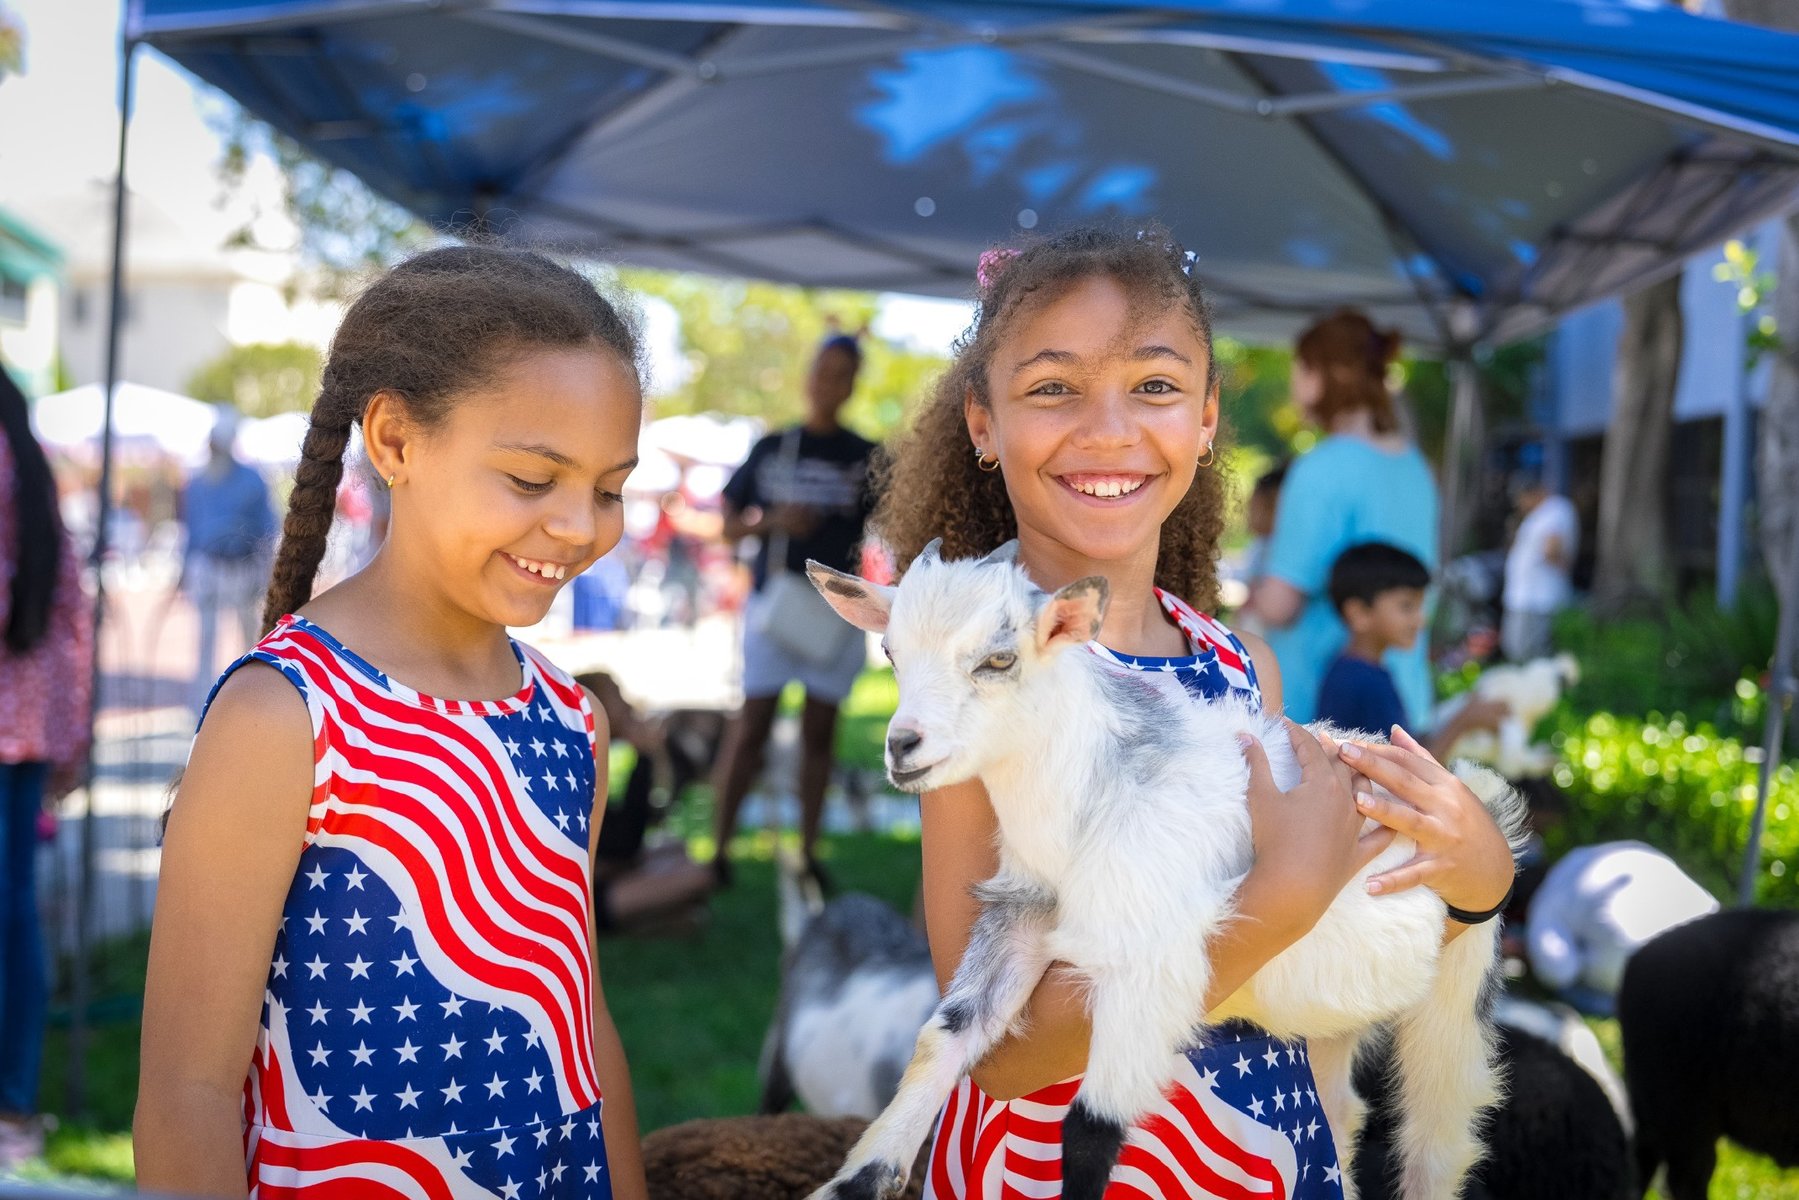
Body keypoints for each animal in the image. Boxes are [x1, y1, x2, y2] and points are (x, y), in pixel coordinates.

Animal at [809, 543, 1525, 1200]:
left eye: (999, 659)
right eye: (891, 654)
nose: (902, 747)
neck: (1091, 803)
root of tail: (1472, 789)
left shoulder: (1153, 960)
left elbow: (1091, 1129)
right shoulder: (1023, 915)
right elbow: (946, 1035)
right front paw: (857, 1179)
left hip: (1459, 996)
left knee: (1440, 1133)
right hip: (1335, 1015)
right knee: (1342, 1110)